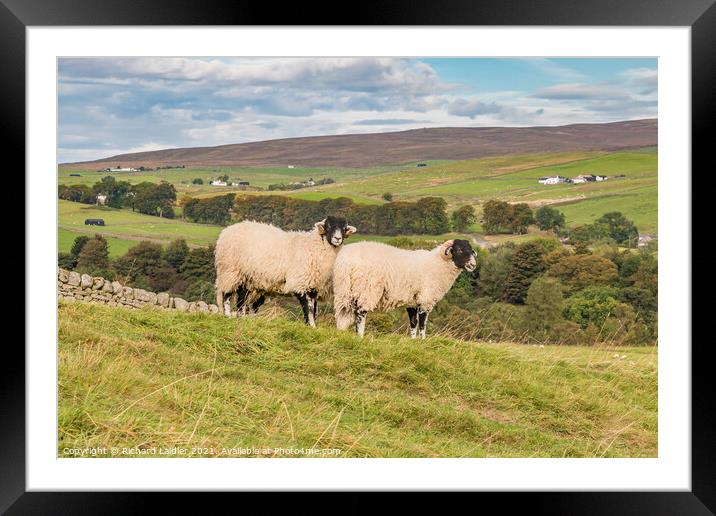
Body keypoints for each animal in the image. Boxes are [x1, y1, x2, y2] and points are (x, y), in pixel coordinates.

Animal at [214, 216, 356, 328]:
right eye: (328, 226)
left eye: (344, 228)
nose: (337, 238)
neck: (315, 246)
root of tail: (227, 230)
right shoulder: (301, 282)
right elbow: (308, 308)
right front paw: (311, 326)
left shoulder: (313, 285)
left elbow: (314, 308)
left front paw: (309, 325)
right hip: (230, 270)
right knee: (226, 294)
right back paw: (227, 315)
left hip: (247, 278)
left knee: (241, 299)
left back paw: (242, 318)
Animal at [332, 241, 478, 340]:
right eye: (459, 250)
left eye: (471, 250)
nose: (473, 265)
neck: (438, 263)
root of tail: (345, 262)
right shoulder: (425, 299)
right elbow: (422, 324)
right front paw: (423, 341)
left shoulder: (412, 302)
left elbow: (413, 323)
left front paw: (413, 341)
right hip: (367, 288)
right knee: (360, 313)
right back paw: (360, 336)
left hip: (343, 290)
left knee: (343, 313)